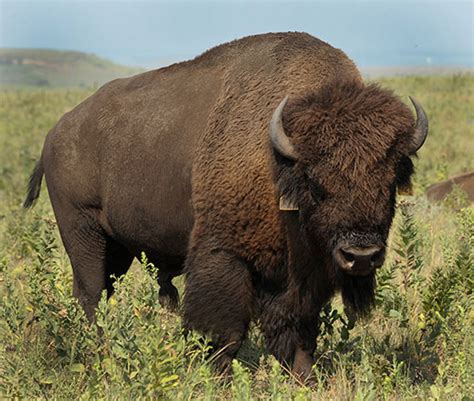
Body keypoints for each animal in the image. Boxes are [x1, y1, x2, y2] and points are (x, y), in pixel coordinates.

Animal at [24, 32, 428, 378]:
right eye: (315, 183)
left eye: (390, 181)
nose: (361, 255)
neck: (278, 161)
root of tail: (54, 134)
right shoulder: (224, 253)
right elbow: (223, 332)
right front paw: (215, 378)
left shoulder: (297, 274)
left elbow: (297, 330)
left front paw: (303, 379)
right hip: (83, 232)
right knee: (90, 294)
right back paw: (101, 355)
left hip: (118, 248)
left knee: (103, 292)